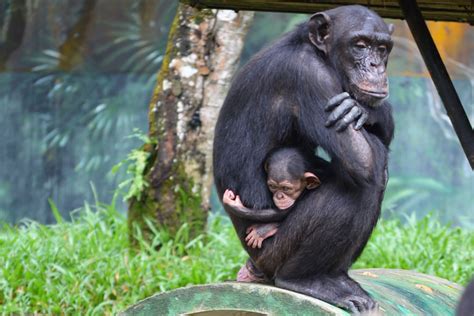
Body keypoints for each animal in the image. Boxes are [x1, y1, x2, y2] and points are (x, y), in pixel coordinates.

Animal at [213, 4, 394, 314]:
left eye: (382, 48)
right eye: (359, 45)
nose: (376, 66)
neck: (318, 53)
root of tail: (256, 267)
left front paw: (364, 111)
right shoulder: (310, 77)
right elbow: (363, 160)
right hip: (273, 253)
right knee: (366, 181)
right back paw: (305, 280)